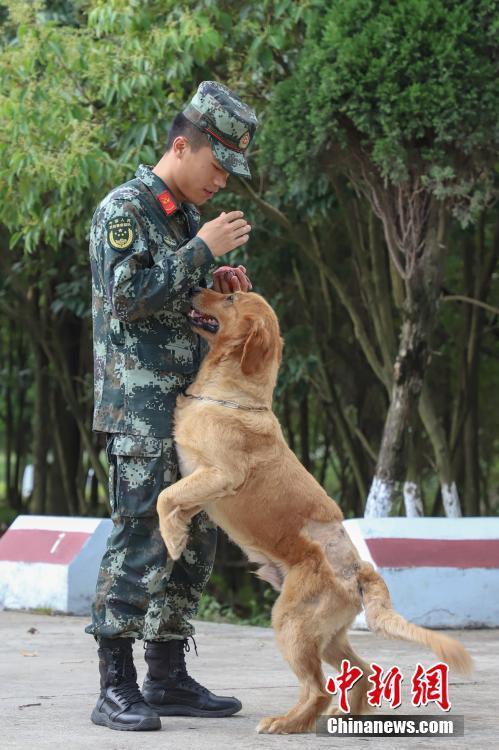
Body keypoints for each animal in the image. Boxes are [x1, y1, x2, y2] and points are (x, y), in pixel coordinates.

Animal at [158, 286, 474, 736]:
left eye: (231, 297)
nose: (192, 287)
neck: (229, 396)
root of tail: (359, 569)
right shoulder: (201, 486)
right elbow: (175, 500)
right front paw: (179, 532)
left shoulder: (219, 474)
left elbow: (164, 497)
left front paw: (171, 539)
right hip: (328, 634)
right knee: (360, 672)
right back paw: (347, 716)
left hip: (291, 623)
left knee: (318, 689)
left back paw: (284, 723)